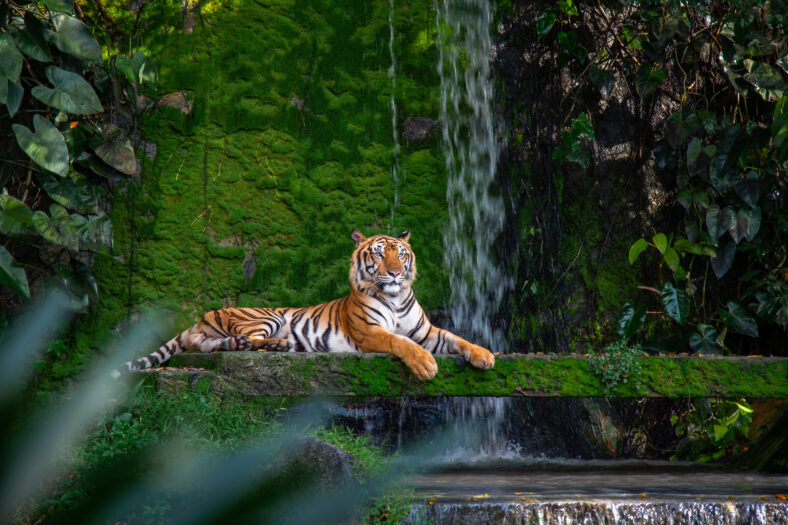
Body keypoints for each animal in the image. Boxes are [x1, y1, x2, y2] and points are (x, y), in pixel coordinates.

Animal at [114, 227, 496, 378]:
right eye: (378, 253)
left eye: (400, 253)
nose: (396, 273)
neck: (395, 297)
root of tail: (202, 316)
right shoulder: (370, 333)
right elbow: (399, 342)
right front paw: (426, 365)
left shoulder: (426, 331)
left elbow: (457, 338)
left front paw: (485, 356)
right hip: (265, 318)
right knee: (248, 339)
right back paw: (278, 346)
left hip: (222, 335)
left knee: (214, 345)